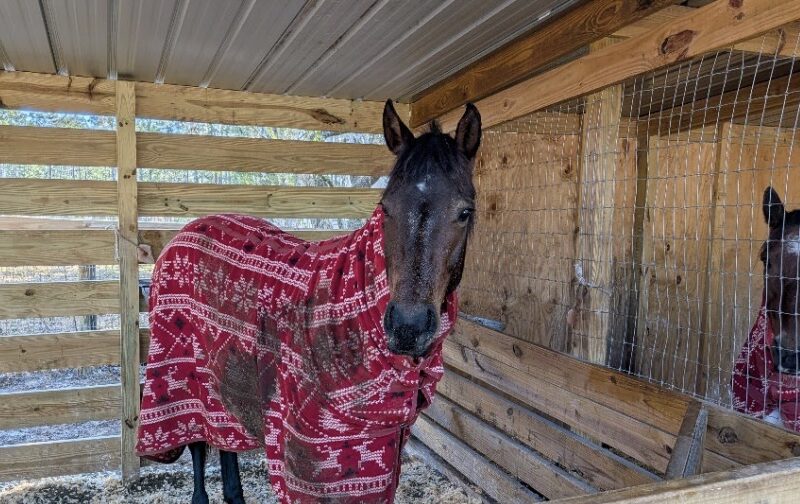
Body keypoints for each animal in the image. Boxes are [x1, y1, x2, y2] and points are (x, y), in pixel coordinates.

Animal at [134, 99, 481, 503]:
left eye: (464, 212)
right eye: (386, 208)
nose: (408, 328)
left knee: (225, 443)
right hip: (184, 378)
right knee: (197, 445)